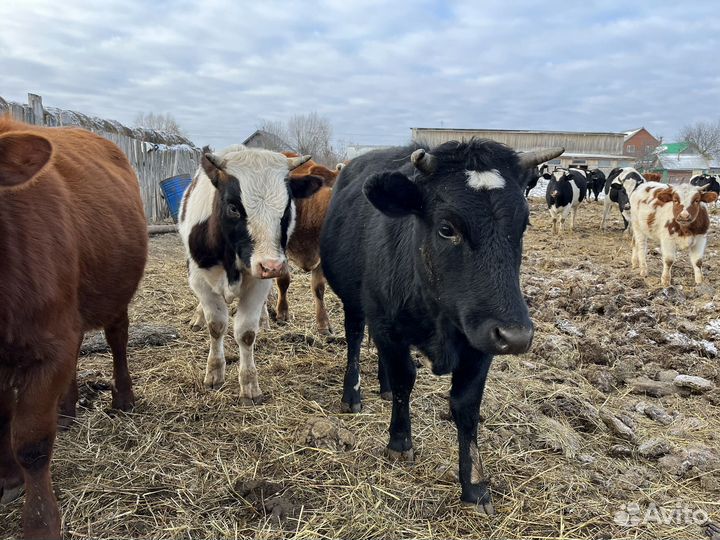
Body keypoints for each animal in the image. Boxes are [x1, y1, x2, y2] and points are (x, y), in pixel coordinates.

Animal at [0, 118, 147, 539]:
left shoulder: (51, 345)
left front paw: (40, 523)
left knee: (118, 339)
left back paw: (123, 398)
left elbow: (32, 442)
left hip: (114, 294)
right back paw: (66, 409)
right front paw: (9, 479)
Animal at [178, 145, 322, 403]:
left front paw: (249, 385)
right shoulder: (200, 280)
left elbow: (246, 333)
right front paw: (214, 372)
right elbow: (216, 326)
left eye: (286, 208)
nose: (272, 266)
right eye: (234, 207)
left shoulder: (258, 284)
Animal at [319, 139, 564, 513]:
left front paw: (475, 484)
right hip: (355, 304)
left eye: (523, 225)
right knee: (356, 340)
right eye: (447, 229)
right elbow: (405, 379)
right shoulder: (387, 324)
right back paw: (353, 395)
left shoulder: (481, 342)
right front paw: (400, 442)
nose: (516, 336)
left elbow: (466, 405)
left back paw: (382, 387)